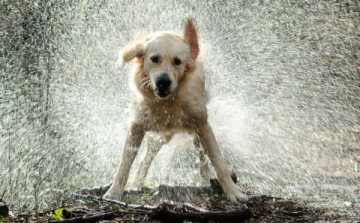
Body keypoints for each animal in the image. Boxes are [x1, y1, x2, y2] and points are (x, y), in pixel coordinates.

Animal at [103, 19, 248, 203]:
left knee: (202, 157)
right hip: (159, 136)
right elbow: (124, 164)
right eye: (154, 59)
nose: (163, 81)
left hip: (194, 133)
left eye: (177, 61)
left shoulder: (202, 125)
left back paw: (204, 180)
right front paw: (114, 192)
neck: (167, 102)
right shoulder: (137, 126)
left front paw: (233, 192)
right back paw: (136, 182)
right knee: (146, 158)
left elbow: (218, 162)